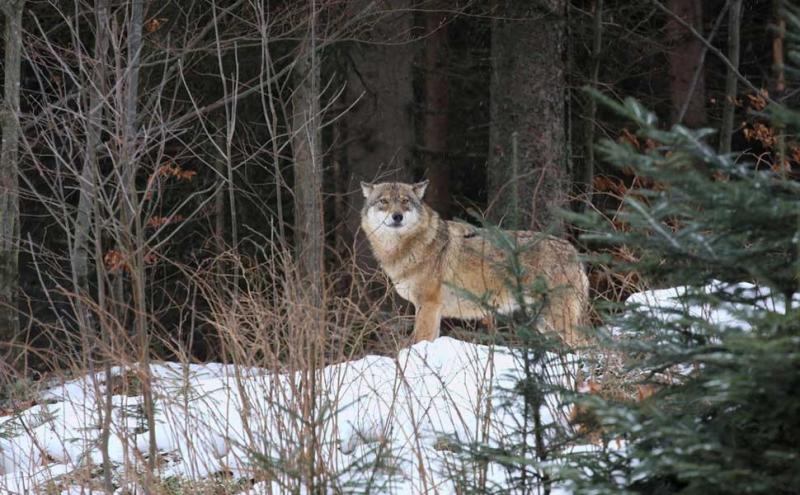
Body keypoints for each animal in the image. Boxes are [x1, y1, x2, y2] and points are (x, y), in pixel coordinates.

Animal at [360, 180, 588, 346]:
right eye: (383, 201)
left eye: (405, 201)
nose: (397, 216)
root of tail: (574, 251)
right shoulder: (430, 310)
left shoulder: (428, 306)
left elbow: (420, 342)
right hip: (544, 322)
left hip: (556, 320)